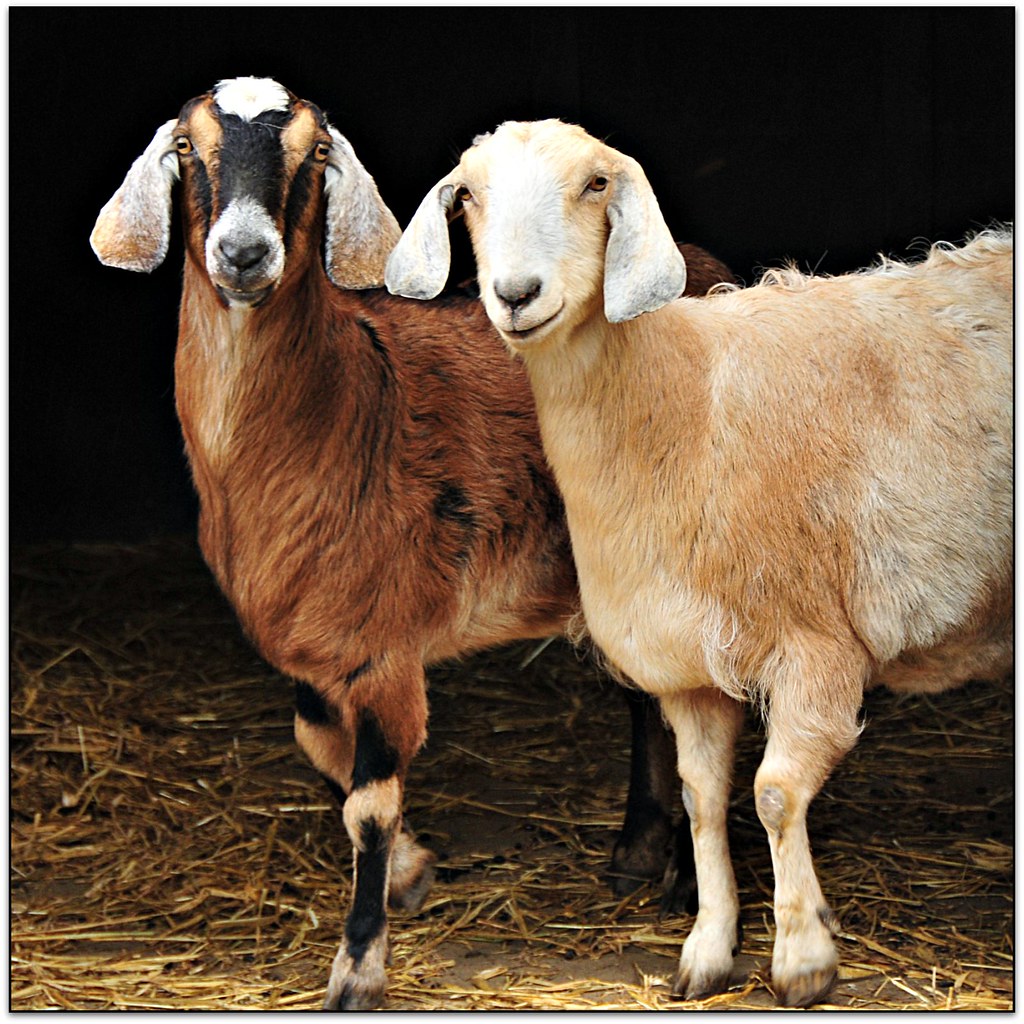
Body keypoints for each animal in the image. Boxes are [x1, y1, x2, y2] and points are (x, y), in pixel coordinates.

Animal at [89, 84, 733, 1009]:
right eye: (185, 145)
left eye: (317, 154)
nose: (244, 253)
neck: (353, 401)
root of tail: (697, 267)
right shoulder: (318, 646)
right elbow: (319, 749)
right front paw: (414, 871)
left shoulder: (384, 644)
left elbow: (368, 806)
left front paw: (359, 966)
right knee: (646, 693)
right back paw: (637, 855)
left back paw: (678, 877)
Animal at [386, 118, 1013, 1007]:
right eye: (467, 194)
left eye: (596, 185)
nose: (515, 293)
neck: (680, 401)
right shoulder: (686, 664)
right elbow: (703, 799)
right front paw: (709, 950)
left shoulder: (815, 646)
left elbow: (775, 795)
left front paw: (803, 958)